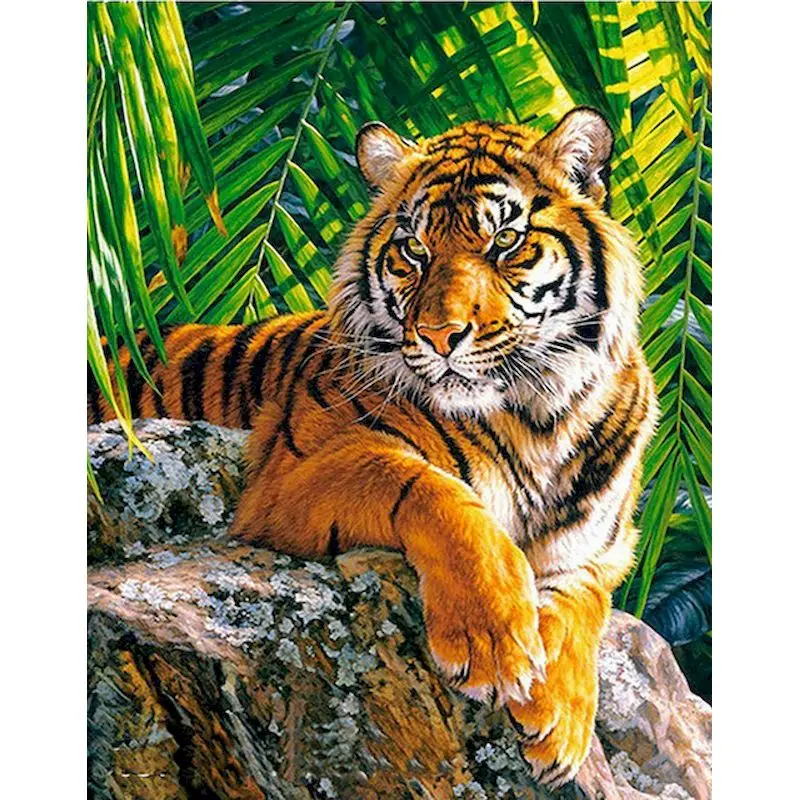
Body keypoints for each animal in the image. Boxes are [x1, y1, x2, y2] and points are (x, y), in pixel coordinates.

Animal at [88, 108, 657, 790]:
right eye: (415, 249)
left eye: (504, 242)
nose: (439, 336)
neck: (538, 415)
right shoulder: (289, 474)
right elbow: (435, 491)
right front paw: (492, 640)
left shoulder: (604, 547)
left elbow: (582, 598)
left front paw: (563, 724)